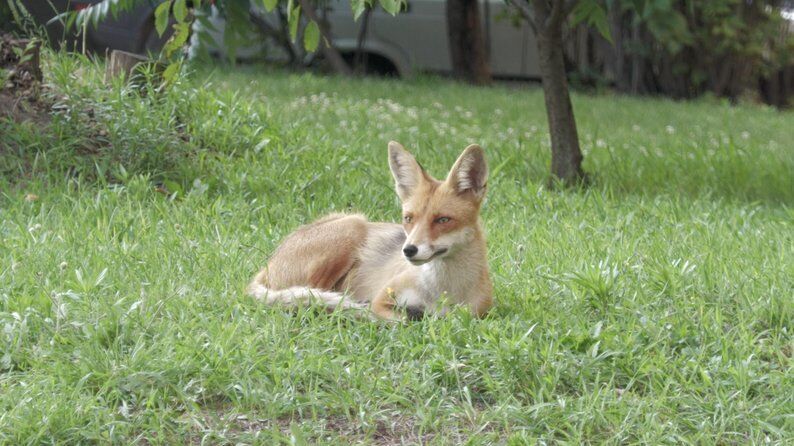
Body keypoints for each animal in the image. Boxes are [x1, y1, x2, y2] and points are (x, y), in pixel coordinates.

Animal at [248, 143, 492, 320]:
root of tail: (268, 264)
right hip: (353, 225)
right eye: (408, 218)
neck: (443, 292)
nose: (408, 250)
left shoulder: (476, 315)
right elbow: (401, 320)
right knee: (311, 293)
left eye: (443, 220)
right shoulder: (382, 300)